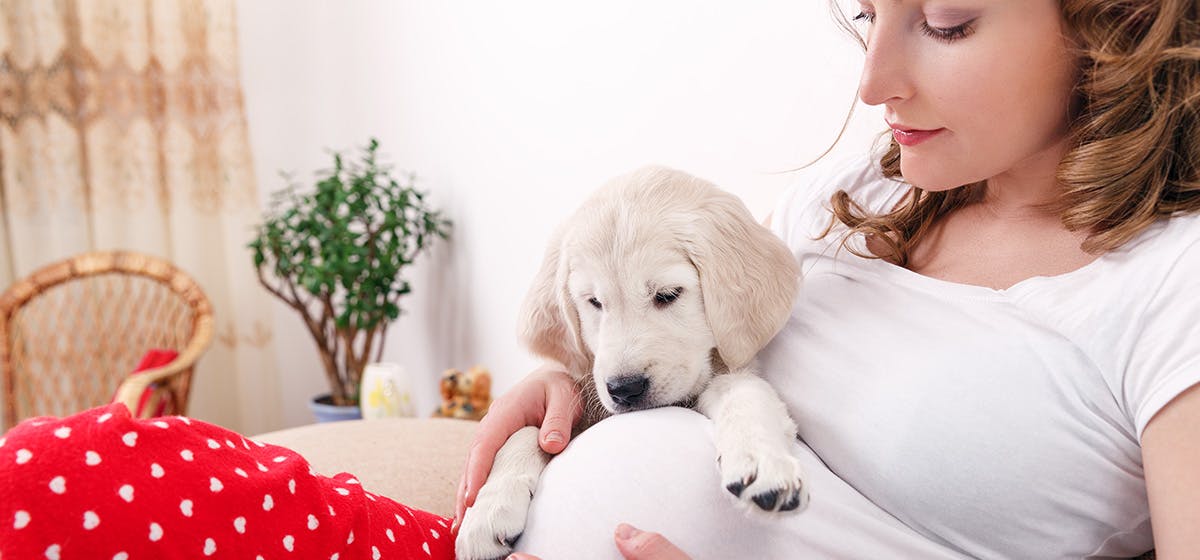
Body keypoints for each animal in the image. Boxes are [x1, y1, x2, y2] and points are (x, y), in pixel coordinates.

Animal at [456, 166, 806, 560]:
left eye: (668, 295)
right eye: (594, 302)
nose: (624, 390)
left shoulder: (730, 368)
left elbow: (745, 394)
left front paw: (762, 460)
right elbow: (527, 430)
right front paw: (487, 511)